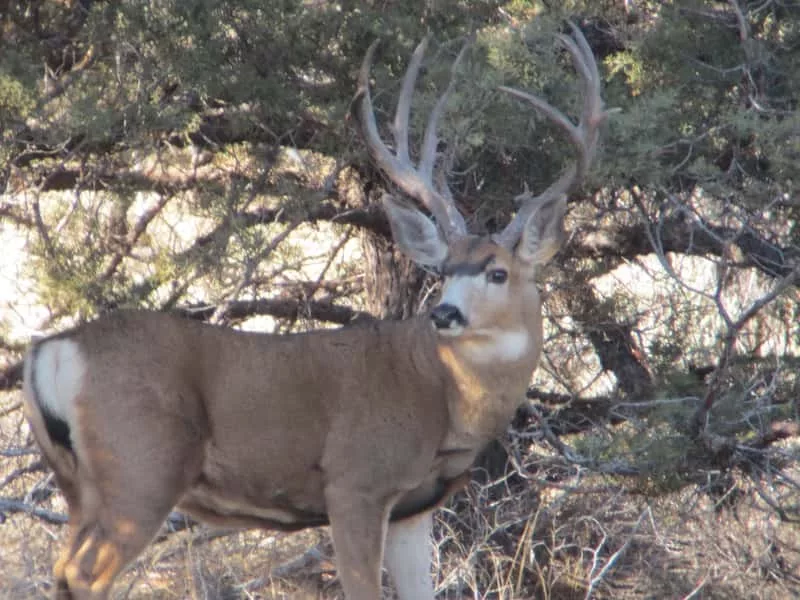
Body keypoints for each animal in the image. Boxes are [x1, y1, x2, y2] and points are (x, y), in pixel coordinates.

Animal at [22, 23, 607, 600]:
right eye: (444, 270)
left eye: (497, 272)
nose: (444, 314)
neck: (440, 392)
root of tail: (52, 350)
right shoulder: (355, 481)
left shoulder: (414, 507)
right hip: (141, 467)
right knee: (83, 575)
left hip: (79, 486)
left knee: (62, 568)